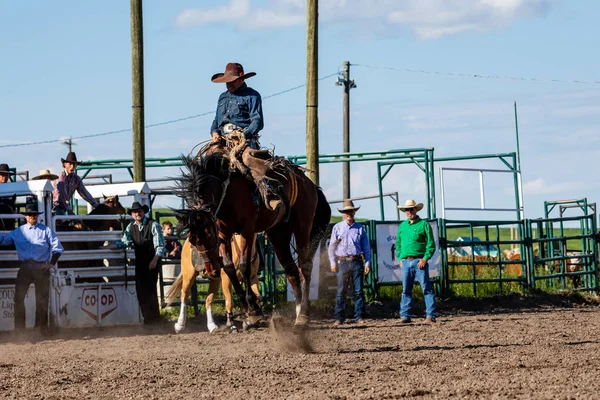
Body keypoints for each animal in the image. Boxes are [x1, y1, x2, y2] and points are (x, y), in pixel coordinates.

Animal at [176, 148, 330, 326]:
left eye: (208, 234)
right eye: (193, 240)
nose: (211, 271)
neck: (226, 194)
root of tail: (309, 183)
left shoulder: (246, 232)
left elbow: (244, 266)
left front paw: (254, 309)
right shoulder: (223, 235)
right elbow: (229, 267)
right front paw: (247, 308)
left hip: (302, 225)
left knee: (304, 266)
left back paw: (304, 314)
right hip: (278, 233)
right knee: (291, 270)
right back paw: (298, 312)